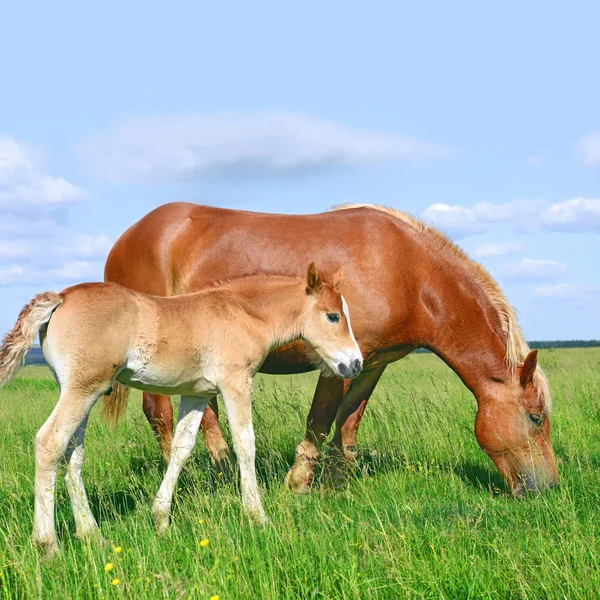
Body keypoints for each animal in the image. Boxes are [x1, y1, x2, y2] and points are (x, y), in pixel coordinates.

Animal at [0, 264, 360, 556]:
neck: (241, 314)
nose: (354, 364)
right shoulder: (235, 382)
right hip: (83, 388)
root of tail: (59, 297)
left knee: (72, 454)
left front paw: (160, 519)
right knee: (49, 442)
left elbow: (181, 448)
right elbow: (245, 444)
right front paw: (258, 516)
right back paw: (47, 545)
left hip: (82, 390)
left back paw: (93, 536)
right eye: (332, 315)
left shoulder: (196, 394)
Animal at [106, 202, 556, 496]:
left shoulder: (372, 362)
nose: (548, 488)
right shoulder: (336, 361)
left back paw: (221, 470)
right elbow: (321, 419)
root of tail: (125, 239)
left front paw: (336, 480)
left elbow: (350, 420)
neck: (409, 272)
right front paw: (299, 483)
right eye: (535, 418)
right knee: (158, 412)